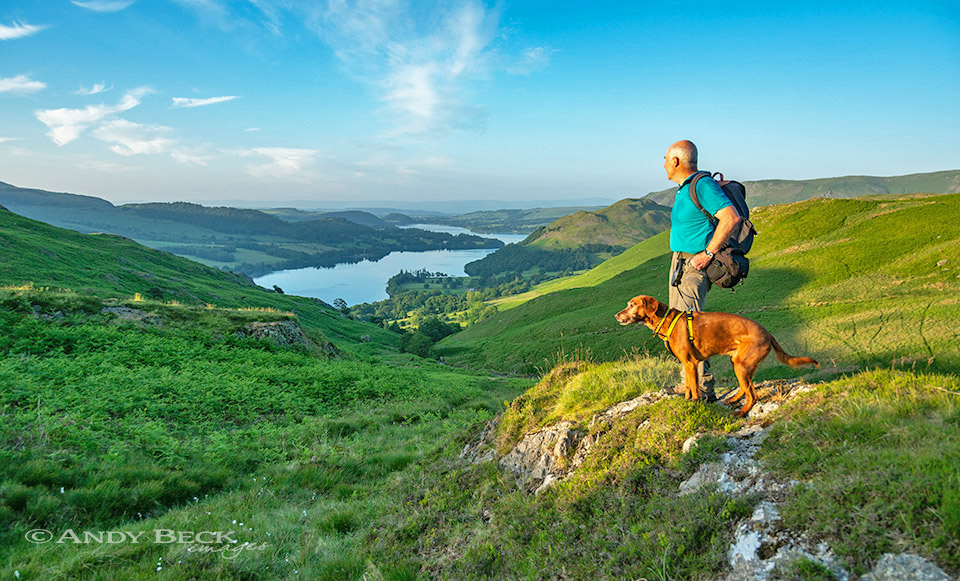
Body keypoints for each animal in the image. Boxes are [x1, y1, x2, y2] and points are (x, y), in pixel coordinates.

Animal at [616, 294, 816, 416]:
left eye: (632, 305)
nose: (616, 315)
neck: (667, 320)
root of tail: (767, 333)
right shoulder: (686, 363)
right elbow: (687, 386)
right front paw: (687, 401)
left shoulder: (691, 363)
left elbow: (694, 387)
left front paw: (695, 402)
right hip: (738, 362)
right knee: (746, 387)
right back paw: (732, 400)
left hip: (741, 365)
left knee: (753, 395)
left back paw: (741, 412)